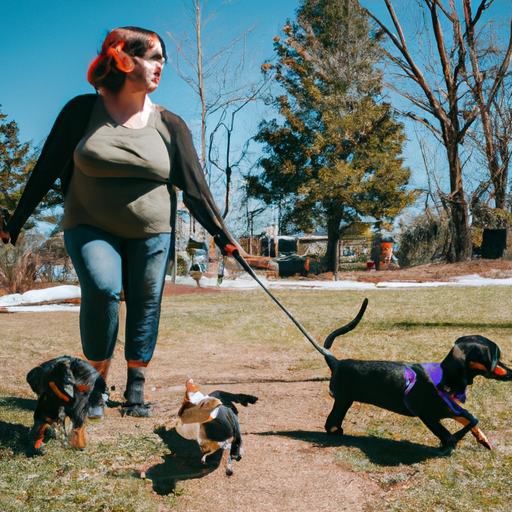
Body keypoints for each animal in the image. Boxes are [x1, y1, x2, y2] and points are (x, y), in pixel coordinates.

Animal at [308, 300, 512, 452]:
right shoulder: (428, 415)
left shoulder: (450, 409)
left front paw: (482, 439)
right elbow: (453, 430)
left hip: (346, 400)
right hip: (343, 399)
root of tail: (336, 362)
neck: (444, 378)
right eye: (495, 357)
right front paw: (450, 443)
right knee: (330, 422)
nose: (510, 372)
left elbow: (470, 420)